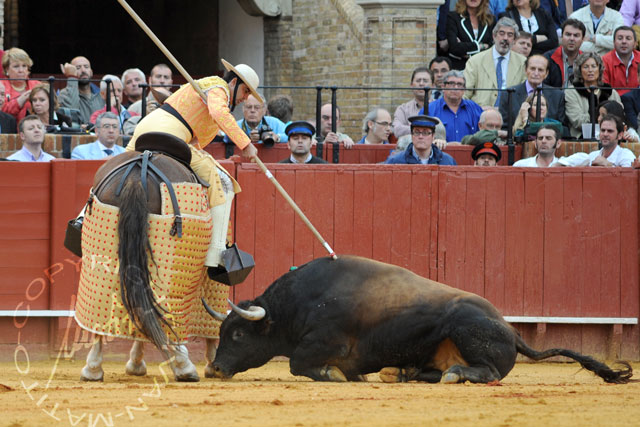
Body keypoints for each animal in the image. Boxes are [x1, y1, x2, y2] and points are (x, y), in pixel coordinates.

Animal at [74, 135, 225, 382]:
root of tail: (137, 176)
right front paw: (213, 363)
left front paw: (135, 363)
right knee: (165, 309)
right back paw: (184, 367)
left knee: (107, 307)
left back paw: (92, 369)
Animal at [204, 254, 632, 384]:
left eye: (238, 335)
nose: (213, 368)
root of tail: (511, 333)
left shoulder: (325, 341)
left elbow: (297, 363)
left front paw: (333, 374)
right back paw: (402, 373)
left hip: (464, 326)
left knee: (488, 372)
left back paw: (455, 375)